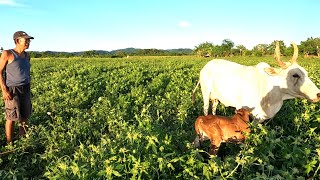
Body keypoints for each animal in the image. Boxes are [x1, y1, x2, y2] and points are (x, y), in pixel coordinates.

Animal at [192, 41, 320, 122]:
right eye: (295, 75)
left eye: (306, 73)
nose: (318, 94)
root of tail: (205, 67)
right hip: (205, 93)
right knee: (206, 109)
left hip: (216, 98)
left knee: (214, 108)